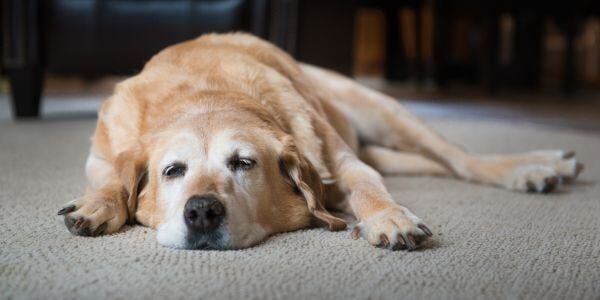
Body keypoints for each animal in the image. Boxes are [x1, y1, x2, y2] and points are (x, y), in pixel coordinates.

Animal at [56, 32, 580, 250]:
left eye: (243, 163)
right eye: (173, 171)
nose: (202, 211)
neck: (206, 94)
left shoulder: (342, 164)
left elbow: (367, 188)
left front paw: (389, 218)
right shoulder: (100, 156)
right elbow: (112, 180)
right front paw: (97, 206)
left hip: (384, 111)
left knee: (461, 160)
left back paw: (534, 167)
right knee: (432, 165)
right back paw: (551, 164)